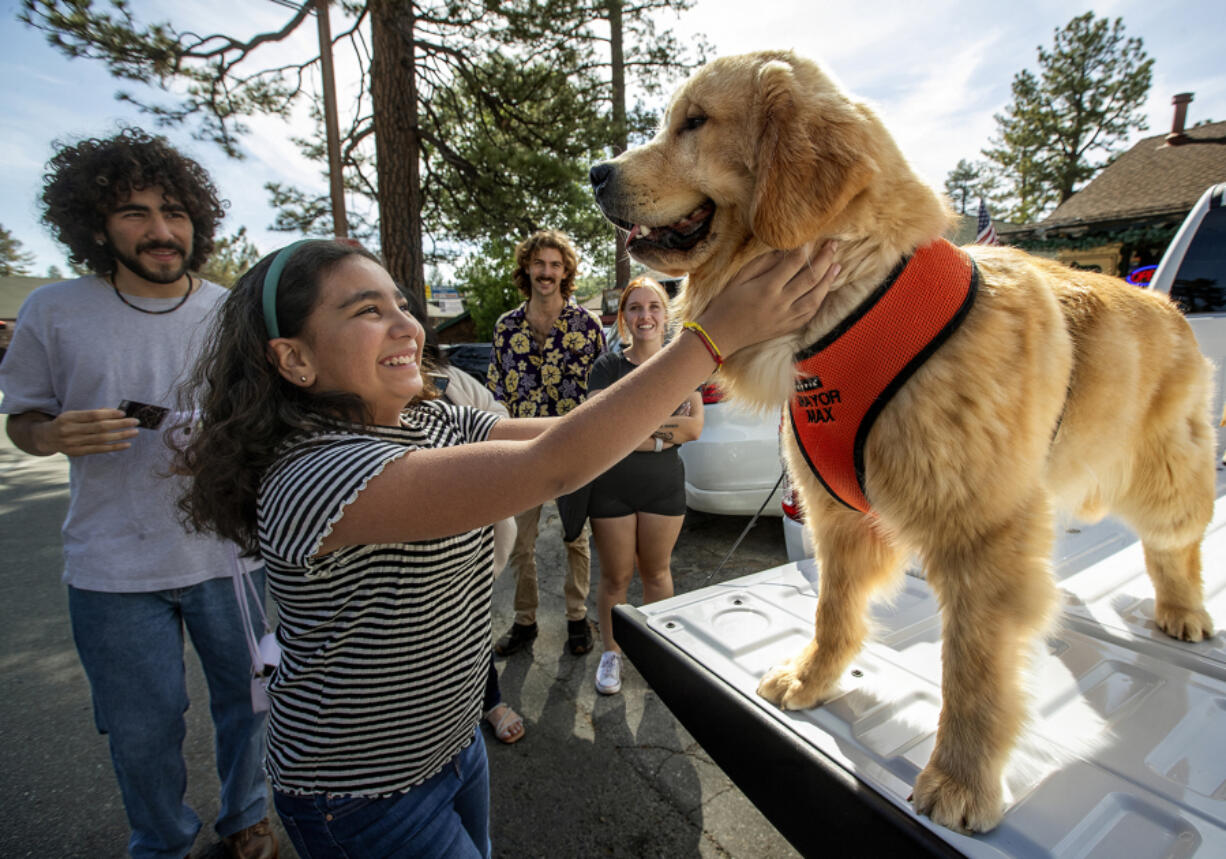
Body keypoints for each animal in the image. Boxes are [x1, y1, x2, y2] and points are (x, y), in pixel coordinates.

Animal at [590, 50, 1216, 833]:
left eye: (695, 122)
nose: (595, 170)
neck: (851, 305)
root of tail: (1166, 300)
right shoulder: (837, 516)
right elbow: (833, 613)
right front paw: (814, 678)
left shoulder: (981, 537)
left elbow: (973, 673)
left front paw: (961, 775)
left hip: (1163, 478)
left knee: (1177, 544)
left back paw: (1183, 609)